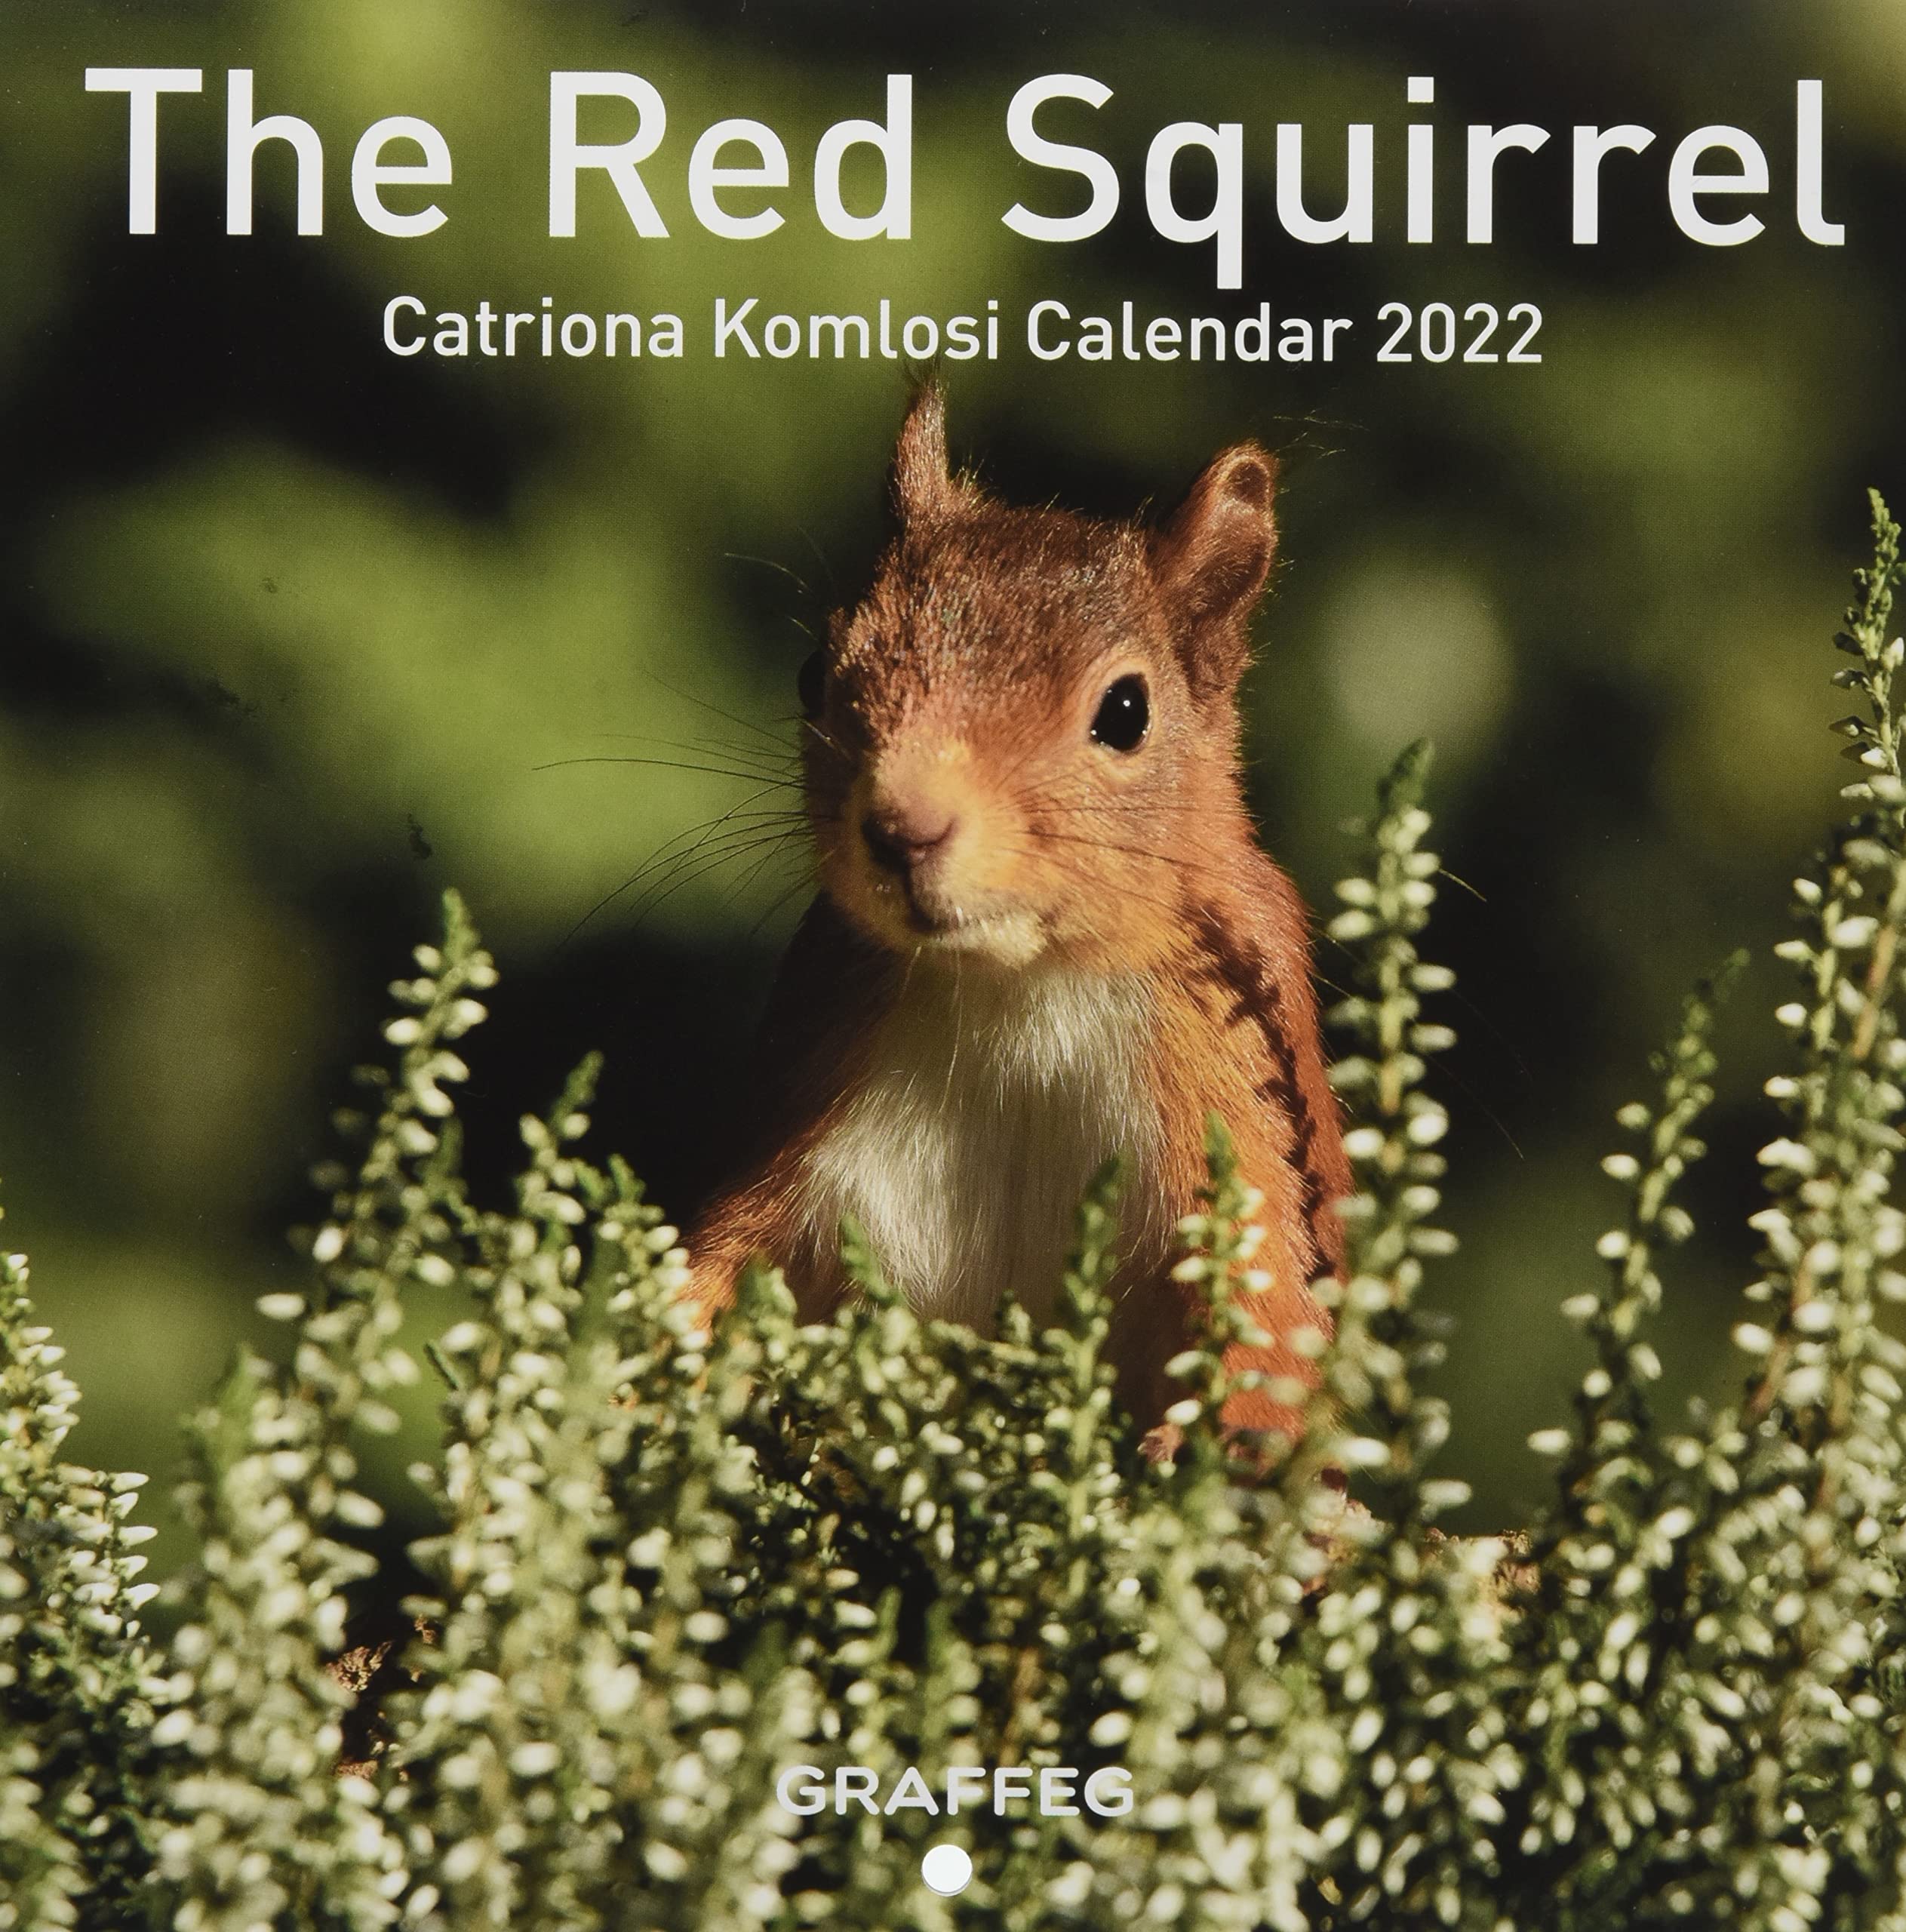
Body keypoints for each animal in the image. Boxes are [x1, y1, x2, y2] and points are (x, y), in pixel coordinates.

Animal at [684, 383, 1350, 1441]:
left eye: (1126, 710)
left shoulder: (1233, 1090)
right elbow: (716, 1260)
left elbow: (1269, 1321)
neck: (1019, 989)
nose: (906, 824)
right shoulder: (807, 1093)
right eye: (813, 671)